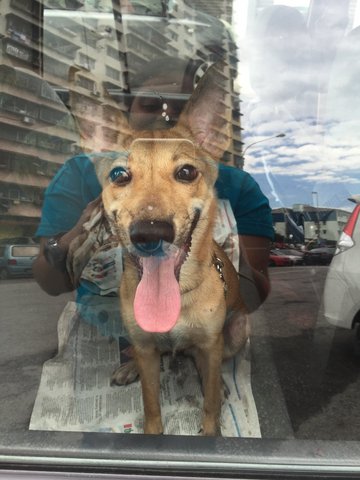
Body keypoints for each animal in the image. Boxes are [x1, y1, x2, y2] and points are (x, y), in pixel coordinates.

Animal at [94, 65, 249, 436]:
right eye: (119, 175)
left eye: (187, 172)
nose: (150, 233)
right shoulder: (146, 348)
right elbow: (151, 405)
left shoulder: (210, 343)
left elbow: (210, 402)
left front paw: (212, 428)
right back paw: (130, 368)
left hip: (238, 329)